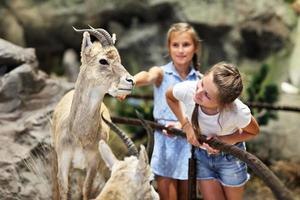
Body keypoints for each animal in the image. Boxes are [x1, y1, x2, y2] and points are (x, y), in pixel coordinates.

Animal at [52, 27, 134, 200]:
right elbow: (64, 191)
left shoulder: (93, 164)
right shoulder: (63, 163)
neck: (79, 135)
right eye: (103, 60)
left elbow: (86, 191)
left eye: (119, 59)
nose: (130, 81)